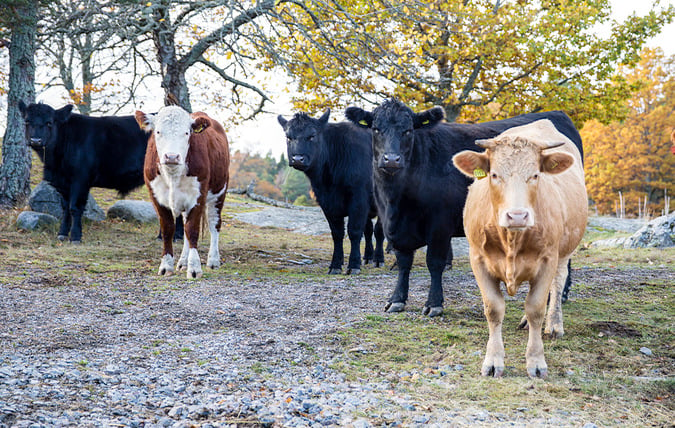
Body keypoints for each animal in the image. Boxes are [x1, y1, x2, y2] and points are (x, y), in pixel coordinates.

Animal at [21, 100, 185, 241]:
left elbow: (75, 207)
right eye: (27, 121)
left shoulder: (80, 179)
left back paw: (173, 236)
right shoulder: (63, 182)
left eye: (49, 122)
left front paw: (75, 237)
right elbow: (65, 208)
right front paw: (62, 234)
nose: (36, 140)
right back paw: (169, 236)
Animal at [135, 106, 230, 280]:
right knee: (185, 226)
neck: (172, 174)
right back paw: (183, 262)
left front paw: (194, 269)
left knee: (214, 224)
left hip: (220, 191)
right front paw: (166, 266)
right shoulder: (156, 197)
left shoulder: (198, 196)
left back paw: (213, 261)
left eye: (187, 133)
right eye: (158, 131)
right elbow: (168, 230)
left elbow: (192, 230)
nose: (172, 156)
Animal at [276, 108, 382, 272]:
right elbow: (337, 233)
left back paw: (379, 259)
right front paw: (336, 265)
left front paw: (353, 265)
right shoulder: (326, 202)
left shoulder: (358, 199)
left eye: (312, 136)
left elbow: (354, 231)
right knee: (369, 229)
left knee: (379, 231)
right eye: (288, 137)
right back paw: (368, 257)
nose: (298, 159)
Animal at [346, 98, 584, 316]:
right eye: (376, 129)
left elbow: (435, 262)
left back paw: (559, 295)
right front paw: (396, 300)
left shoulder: (439, 225)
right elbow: (404, 262)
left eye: (408, 130)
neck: (398, 201)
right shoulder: (394, 226)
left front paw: (434, 304)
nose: (391, 159)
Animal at [452, 119, 588, 378]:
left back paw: (554, 324)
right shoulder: (478, 259)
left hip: (564, 252)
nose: (517, 216)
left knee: (557, 284)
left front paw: (536, 361)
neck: (511, 240)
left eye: (535, 175)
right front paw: (493, 360)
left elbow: (536, 308)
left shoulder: (547, 260)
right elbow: (494, 309)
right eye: (494, 174)